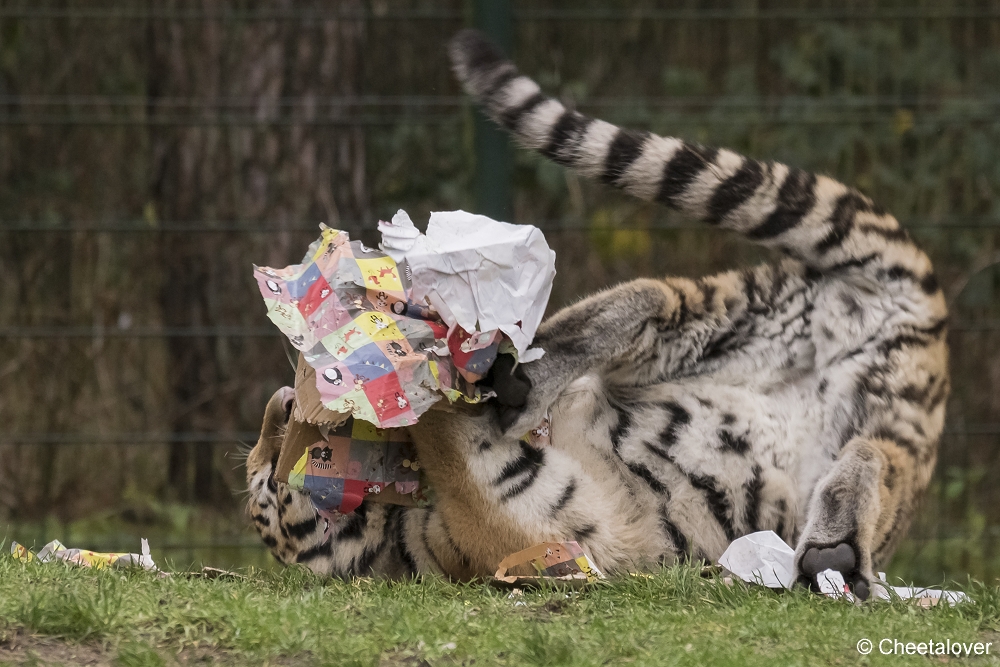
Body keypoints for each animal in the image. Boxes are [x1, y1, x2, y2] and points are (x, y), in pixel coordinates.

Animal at [244, 28, 944, 600]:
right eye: (267, 481)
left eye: (266, 456)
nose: (282, 402)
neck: (395, 528)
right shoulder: (547, 527)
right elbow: (452, 439)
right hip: (874, 405)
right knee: (874, 452)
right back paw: (834, 548)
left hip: (741, 316)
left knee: (648, 301)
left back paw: (524, 368)